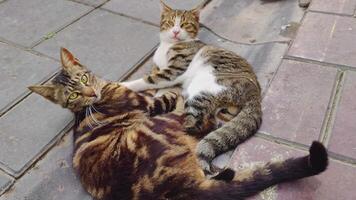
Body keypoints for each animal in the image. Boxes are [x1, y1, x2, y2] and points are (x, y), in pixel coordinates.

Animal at [29, 48, 326, 200]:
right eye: (73, 95)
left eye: (82, 78)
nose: (91, 94)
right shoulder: (150, 102)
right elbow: (155, 88)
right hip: (188, 105)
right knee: (199, 123)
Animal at [122, 0, 262, 173]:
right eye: (170, 23)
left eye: (184, 24)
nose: (175, 31)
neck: (168, 45)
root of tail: (255, 93)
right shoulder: (161, 70)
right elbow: (156, 82)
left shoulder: (174, 70)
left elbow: (149, 79)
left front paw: (122, 85)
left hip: (200, 90)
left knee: (195, 124)